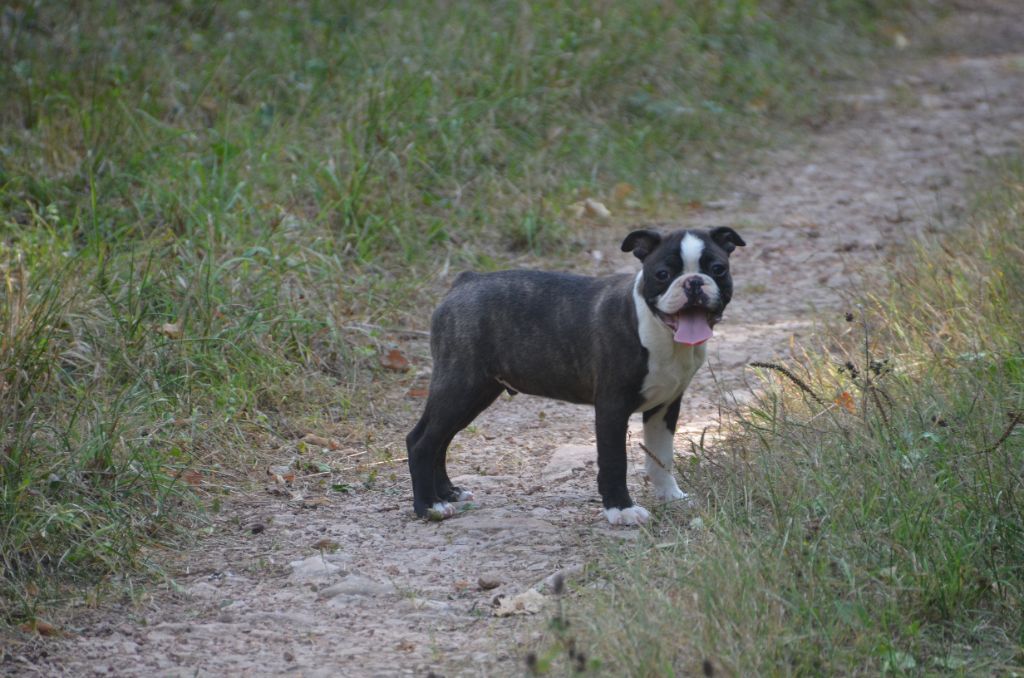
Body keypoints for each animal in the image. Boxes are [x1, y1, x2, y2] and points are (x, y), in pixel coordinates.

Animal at [403, 227, 749, 524]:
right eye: (663, 274)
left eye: (718, 269)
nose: (693, 282)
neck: (659, 330)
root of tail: (465, 280)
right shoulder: (612, 407)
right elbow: (614, 461)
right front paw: (621, 510)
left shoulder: (665, 407)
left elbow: (660, 456)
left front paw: (671, 496)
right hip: (460, 385)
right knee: (422, 441)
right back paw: (430, 506)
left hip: (477, 392)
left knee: (441, 440)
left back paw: (448, 492)